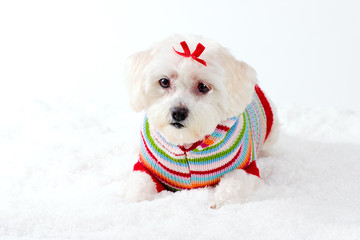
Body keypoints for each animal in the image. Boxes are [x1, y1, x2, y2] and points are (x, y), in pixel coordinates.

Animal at [124, 34, 278, 207]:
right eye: (164, 81)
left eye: (203, 87)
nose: (178, 112)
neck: (186, 144)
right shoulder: (146, 168)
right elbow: (139, 183)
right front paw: (133, 200)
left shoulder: (248, 169)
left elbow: (234, 182)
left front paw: (220, 200)